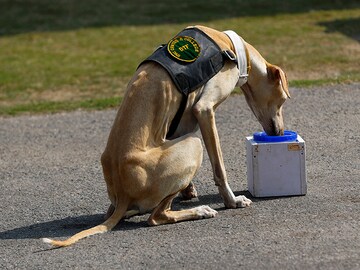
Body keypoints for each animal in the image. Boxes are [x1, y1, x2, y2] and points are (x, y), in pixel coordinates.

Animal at [42, 25, 290, 247]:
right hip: (193, 145)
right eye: (283, 99)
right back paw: (199, 211)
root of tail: (123, 194)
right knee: (156, 217)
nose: (278, 132)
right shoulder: (204, 110)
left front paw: (189, 190)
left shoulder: (181, 124)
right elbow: (220, 168)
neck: (230, 45)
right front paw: (232, 201)